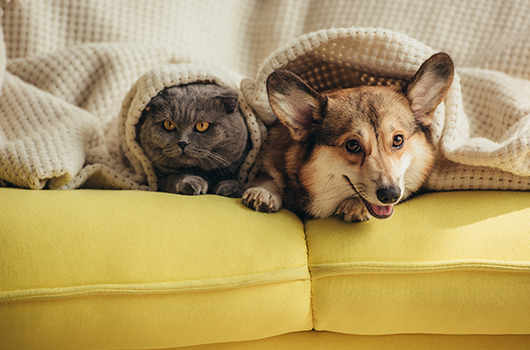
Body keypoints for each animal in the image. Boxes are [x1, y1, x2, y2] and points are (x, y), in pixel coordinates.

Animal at [241, 52, 452, 221]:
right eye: (352, 145)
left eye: (398, 140)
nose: (390, 195)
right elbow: (268, 177)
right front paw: (263, 191)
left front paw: (354, 205)